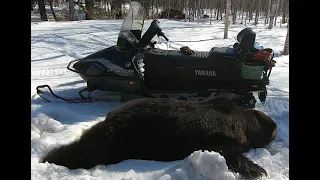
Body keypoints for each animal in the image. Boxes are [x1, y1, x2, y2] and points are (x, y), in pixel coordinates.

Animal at [40, 97, 278, 179]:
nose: (275, 130)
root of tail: (109, 116)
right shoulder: (217, 134)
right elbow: (222, 150)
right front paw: (257, 169)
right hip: (120, 137)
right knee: (87, 150)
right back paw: (49, 157)